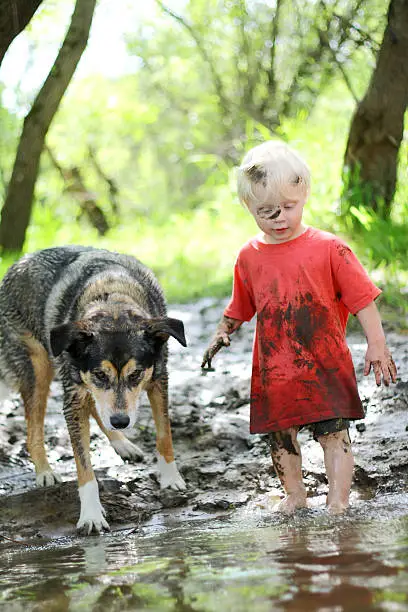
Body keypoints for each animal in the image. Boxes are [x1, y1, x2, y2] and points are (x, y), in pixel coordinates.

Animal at [0, 244, 187, 532]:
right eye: (100, 374)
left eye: (136, 375)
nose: (121, 422)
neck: (113, 304)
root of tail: (18, 263)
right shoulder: (75, 396)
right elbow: (83, 463)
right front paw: (90, 515)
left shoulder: (158, 379)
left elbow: (164, 434)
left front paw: (170, 477)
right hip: (38, 369)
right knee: (33, 429)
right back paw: (45, 471)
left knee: (97, 411)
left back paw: (122, 443)